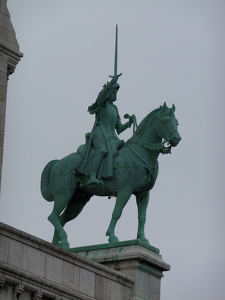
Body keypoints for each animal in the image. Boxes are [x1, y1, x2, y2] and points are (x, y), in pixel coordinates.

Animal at [40, 102, 181, 248]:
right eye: (164, 121)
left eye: (176, 122)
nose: (177, 139)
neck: (141, 152)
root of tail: (57, 163)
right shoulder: (125, 190)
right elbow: (117, 212)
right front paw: (112, 237)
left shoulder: (143, 193)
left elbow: (142, 217)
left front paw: (143, 239)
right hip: (64, 194)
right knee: (52, 216)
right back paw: (63, 240)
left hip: (77, 201)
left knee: (60, 218)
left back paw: (58, 244)